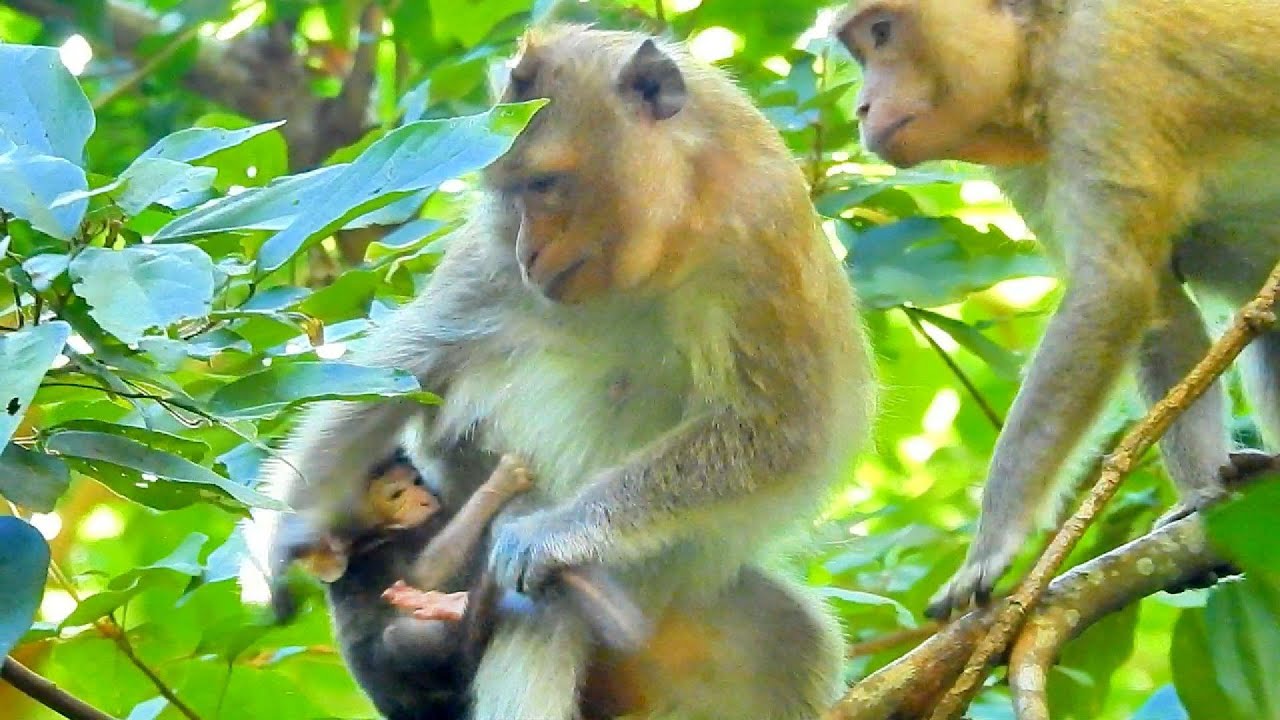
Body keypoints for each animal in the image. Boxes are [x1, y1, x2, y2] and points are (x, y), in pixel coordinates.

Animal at [248, 24, 874, 720]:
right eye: (508, 192)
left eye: (545, 183)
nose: (529, 250)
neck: (668, 239)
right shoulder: (489, 259)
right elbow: (405, 368)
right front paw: (289, 529)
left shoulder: (763, 232)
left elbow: (781, 427)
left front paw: (553, 533)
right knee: (537, 620)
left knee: (792, 636)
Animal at [837, 0, 1280, 618]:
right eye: (860, 49)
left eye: (881, 33)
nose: (862, 106)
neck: (1042, 47)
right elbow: (1160, 308)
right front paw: (1202, 495)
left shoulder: (1097, 70)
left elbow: (1112, 287)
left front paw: (991, 545)